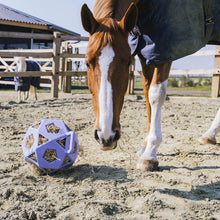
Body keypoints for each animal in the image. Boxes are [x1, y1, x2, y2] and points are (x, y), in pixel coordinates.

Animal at [81, 0, 218, 171]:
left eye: (128, 63)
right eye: (87, 63)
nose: (106, 137)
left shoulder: (164, 49)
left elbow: (156, 94)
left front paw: (150, 153)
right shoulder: (146, 52)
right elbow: (147, 94)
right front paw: (145, 145)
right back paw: (210, 135)